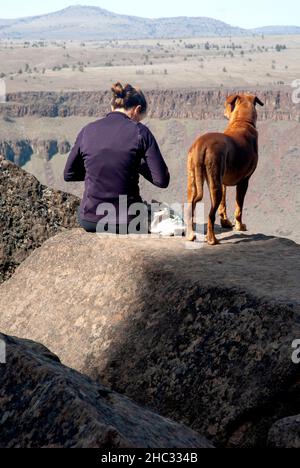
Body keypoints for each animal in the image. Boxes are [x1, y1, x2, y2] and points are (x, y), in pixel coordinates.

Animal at [186, 92, 264, 245]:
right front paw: (240, 226)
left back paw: (190, 235)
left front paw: (226, 222)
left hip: (194, 179)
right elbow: (239, 207)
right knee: (210, 215)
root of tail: (201, 145)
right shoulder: (244, 181)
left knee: (190, 205)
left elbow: (223, 205)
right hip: (214, 183)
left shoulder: (222, 182)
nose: (223, 112)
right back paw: (212, 239)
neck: (242, 121)